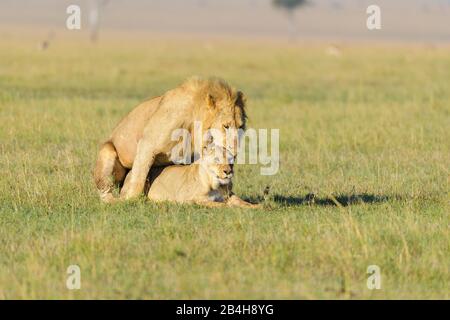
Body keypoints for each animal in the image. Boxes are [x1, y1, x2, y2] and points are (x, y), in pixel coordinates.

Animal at [92, 77, 246, 202]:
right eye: (225, 126)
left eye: (240, 127)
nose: (235, 154)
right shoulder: (147, 144)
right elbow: (138, 180)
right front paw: (129, 201)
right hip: (108, 151)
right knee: (105, 190)